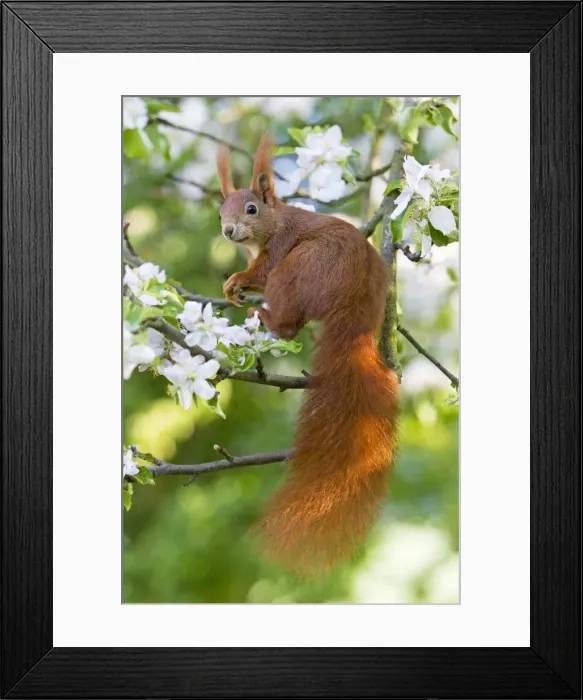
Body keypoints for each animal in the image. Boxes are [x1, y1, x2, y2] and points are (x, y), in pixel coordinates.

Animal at [217, 135, 399, 575]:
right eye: (220, 212)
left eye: (252, 208)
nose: (229, 231)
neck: (275, 221)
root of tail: (352, 307)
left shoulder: (278, 248)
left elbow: (260, 272)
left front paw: (237, 282)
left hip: (297, 269)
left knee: (287, 322)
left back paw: (264, 316)